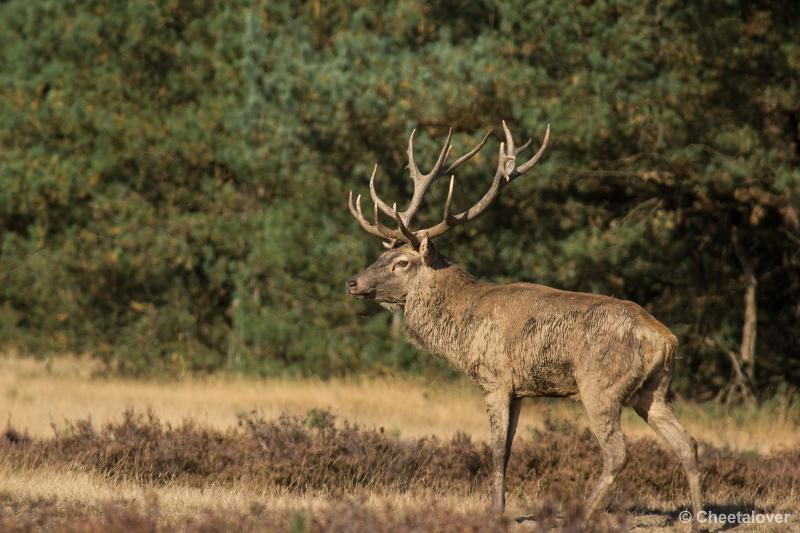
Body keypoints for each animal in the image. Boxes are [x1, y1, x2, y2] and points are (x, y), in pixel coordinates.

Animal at [346, 120, 708, 524]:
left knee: (618, 451)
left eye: (402, 263)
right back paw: (699, 520)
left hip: (600, 384)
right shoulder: (520, 389)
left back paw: (581, 514)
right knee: (688, 443)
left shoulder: (495, 378)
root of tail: (664, 339)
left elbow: (496, 449)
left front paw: (496, 512)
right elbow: (508, 449)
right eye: (382, 255)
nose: (353, 282)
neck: (463, 329)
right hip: (655, 390)